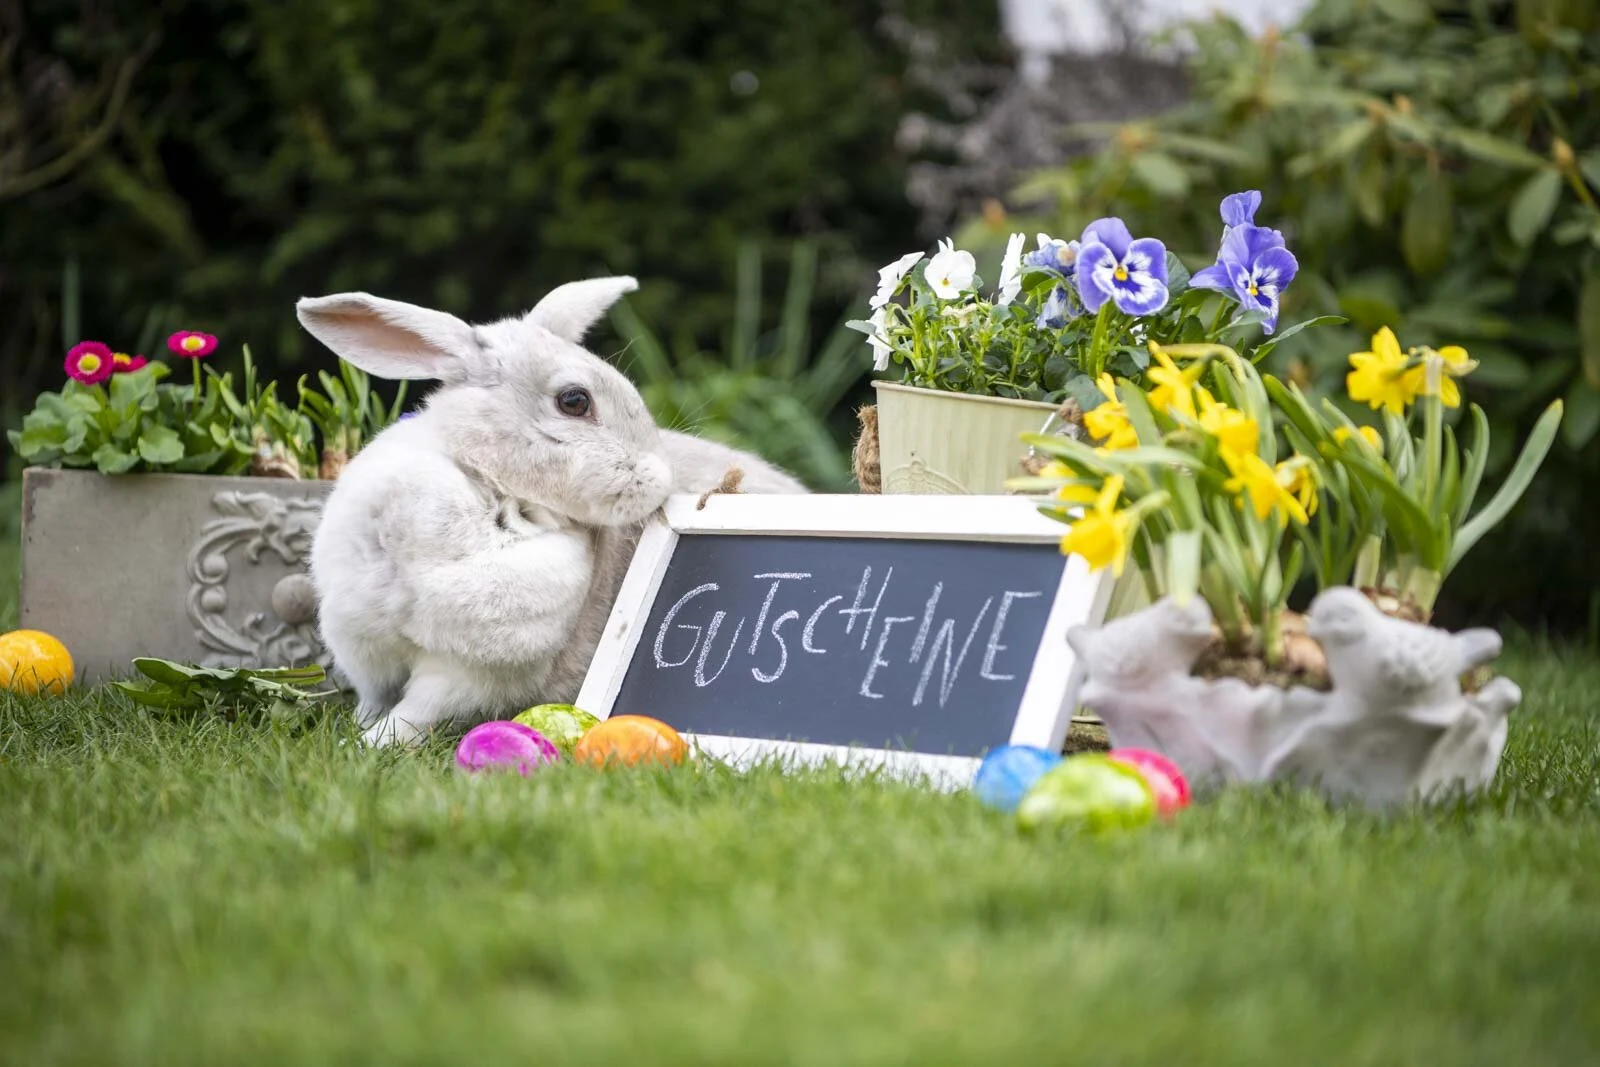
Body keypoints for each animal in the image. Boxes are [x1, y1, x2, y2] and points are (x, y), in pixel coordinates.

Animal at [295, 276, 806, 747]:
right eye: (574, 401)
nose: (660, 481)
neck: (491, 485)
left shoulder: (461, 676)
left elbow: (411, 716)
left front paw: (367, 744)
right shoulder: (366, 654)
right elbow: (375, 703)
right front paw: (356, 738)